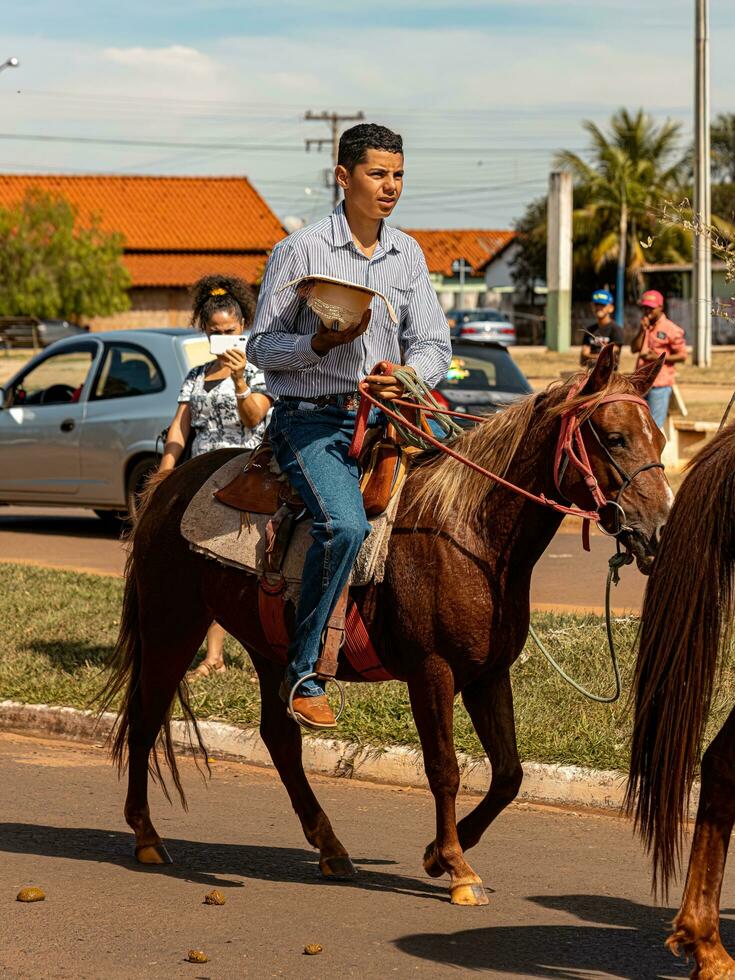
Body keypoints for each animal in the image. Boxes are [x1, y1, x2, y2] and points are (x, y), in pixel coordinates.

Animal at [100, 348, 668, 908]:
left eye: (660, 438)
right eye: (614, 437)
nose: (657, 530)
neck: (469, 533)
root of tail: (166, 485)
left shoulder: (488, 674)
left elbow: (509, 774)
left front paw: (437, 854)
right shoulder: (431, 672)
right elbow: (444, 768)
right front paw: (457, 866)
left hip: (270, 649)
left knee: (280, 737)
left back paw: (330, 847)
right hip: (171, 627)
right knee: (146, 717)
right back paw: (147, 836)